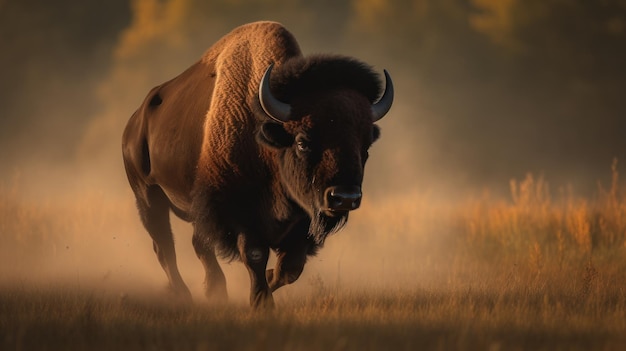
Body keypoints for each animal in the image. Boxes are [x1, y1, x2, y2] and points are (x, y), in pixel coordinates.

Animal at [122, 21, 392, 308]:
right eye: (302, 141)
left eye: (365, 146)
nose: (345, 197)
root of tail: (135, 122)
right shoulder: (240, 214)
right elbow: (255, 255)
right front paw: (261, 303)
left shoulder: (301, 219)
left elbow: (290, 267)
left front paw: (267, 285)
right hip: (148, 197)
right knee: (164, 246)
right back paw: (185, 294)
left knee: (198, 244)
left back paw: (214, 290)